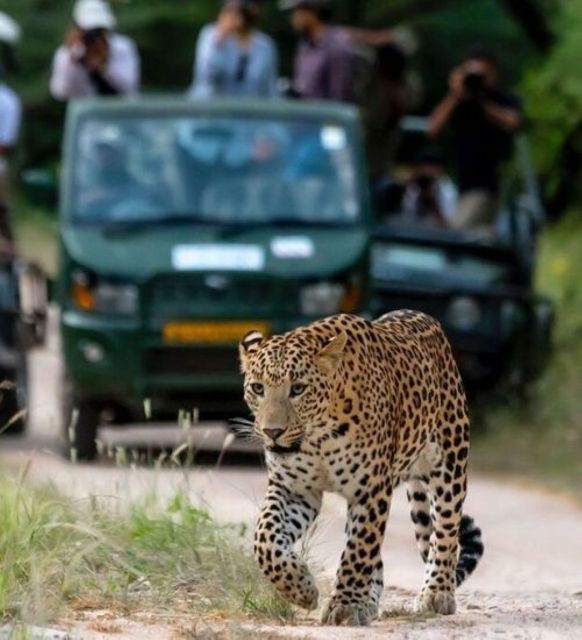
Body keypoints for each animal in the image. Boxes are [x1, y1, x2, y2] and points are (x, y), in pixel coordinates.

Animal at [235, 311, 484, 627]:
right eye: (258, 388)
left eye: (298, 389)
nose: (272, 432)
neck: (318, 438)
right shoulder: (294, 490)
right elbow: (265, 540)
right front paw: (300, 589)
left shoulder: (370, 490)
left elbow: (357, 550)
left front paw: (344, 606)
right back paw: (369, 602)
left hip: (449, 463)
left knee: (445, 532)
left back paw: (436, 593)